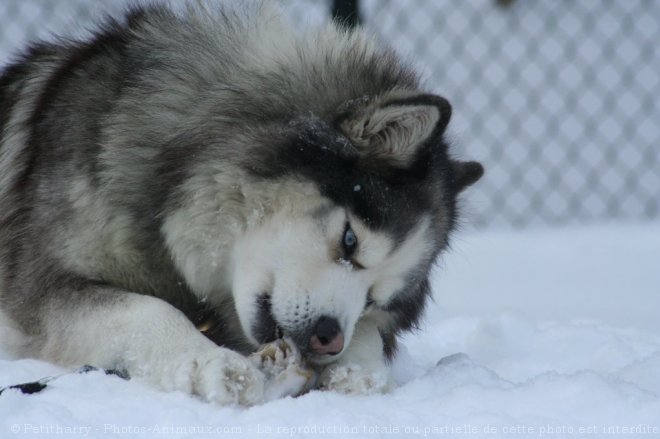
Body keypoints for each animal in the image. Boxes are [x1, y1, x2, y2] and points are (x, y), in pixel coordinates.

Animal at [0, 2, 482, 406]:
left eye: (374, 299)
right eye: (350, 241)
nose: (328, 339)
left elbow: (370, 337)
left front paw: (359, 370)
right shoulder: (43, 286)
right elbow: (147, 307)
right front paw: (209, 361)